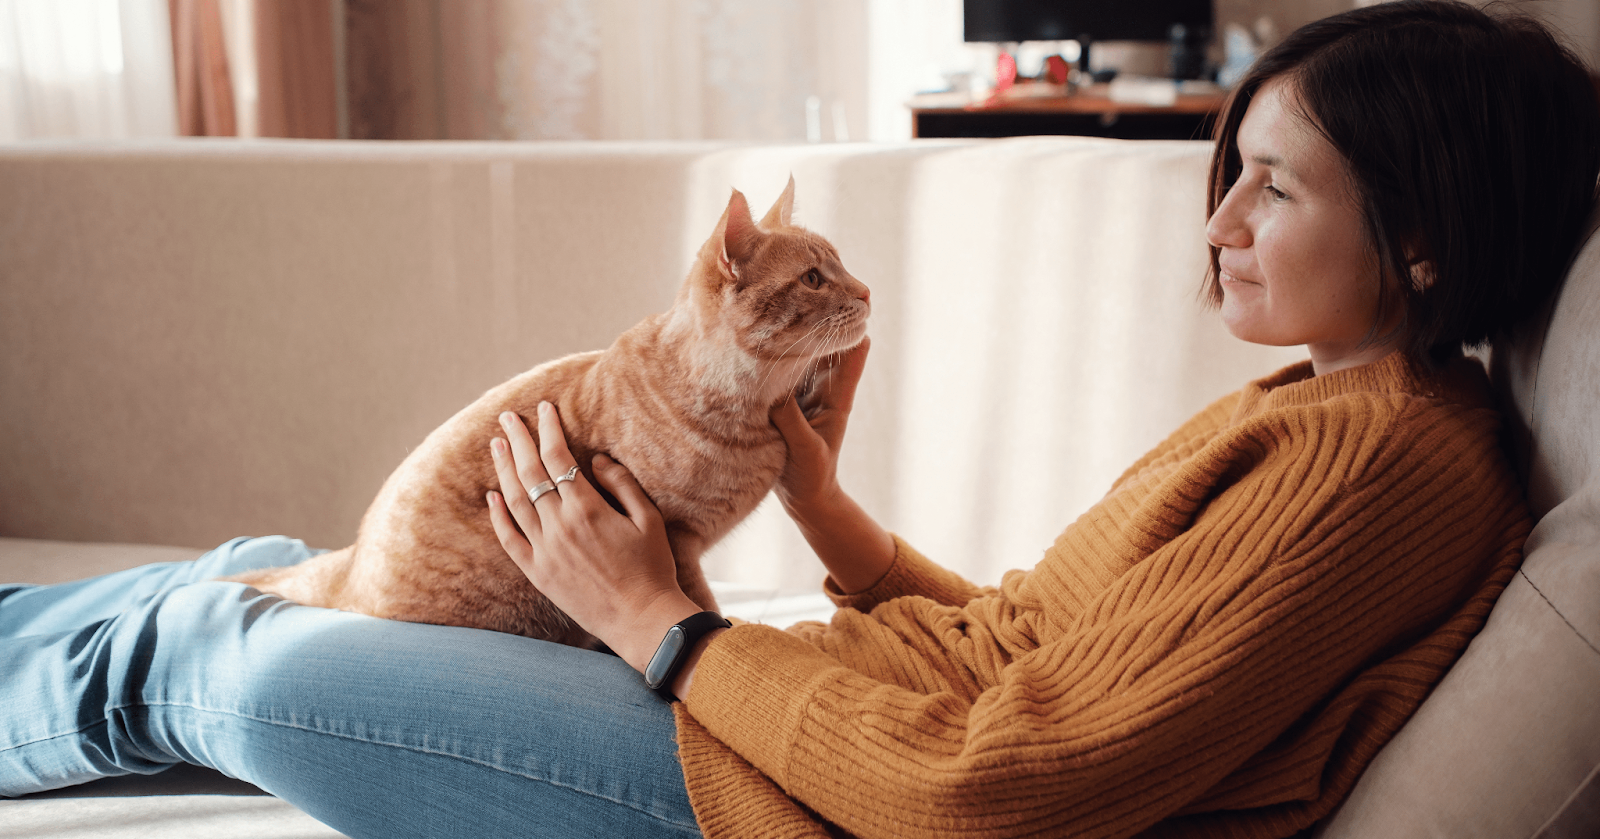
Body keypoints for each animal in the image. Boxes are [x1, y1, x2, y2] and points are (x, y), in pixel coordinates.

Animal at [225, 180, 870, 646]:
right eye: (814, 278)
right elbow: (701, 604)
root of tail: (350, 566)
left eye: (841, 266)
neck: (750, 418)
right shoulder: (676, 542)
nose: (866, 292)